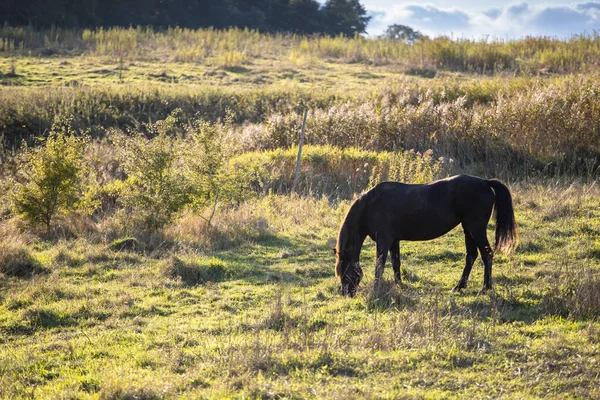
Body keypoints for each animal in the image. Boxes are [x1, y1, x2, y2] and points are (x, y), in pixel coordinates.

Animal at [336, 175, 516, 296]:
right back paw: (459, 286)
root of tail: (485, 182)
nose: (347, 294)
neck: (370, 206)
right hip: (468, 229)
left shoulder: (383, 240)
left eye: (345, 272)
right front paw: (400, 285)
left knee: (487, 254)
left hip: (476, 229)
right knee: (471, 256)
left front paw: (377, 288)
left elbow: (379, 265)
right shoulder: (394, 241)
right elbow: (396, 263)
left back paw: (485, 288)